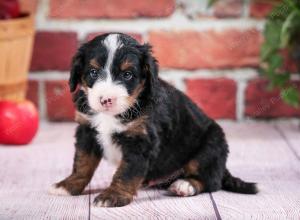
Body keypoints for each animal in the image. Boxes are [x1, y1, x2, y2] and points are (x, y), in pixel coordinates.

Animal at [49, 32, 258, 206]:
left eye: (127, 74)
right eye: (93, 72)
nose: (106, 100)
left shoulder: (140, 141)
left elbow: (126, 172)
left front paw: (113, 195)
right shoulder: (87, 131)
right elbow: (82, 163)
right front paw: (68, 185)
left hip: (211, 145)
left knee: (210, 181)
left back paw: (185, 186)